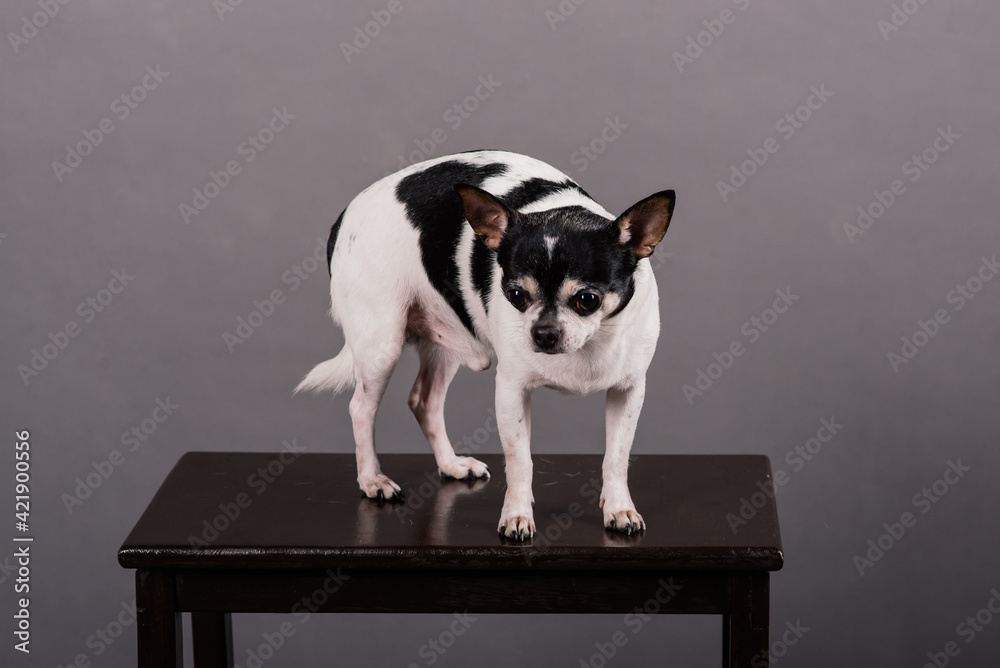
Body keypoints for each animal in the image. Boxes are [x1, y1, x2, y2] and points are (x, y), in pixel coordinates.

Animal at [294, 150, 672, 536]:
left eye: (588, 300)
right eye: (516, 295)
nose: (543, 333)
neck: (590, 342)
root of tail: (343, 219)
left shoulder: (628, 392)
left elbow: (616, 458)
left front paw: (620, 509)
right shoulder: (511, 391)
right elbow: (520, 460)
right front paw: (517, 515)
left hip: (443, 345)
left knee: (425, 402)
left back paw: (450, 465)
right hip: (381, 345)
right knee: (362, 409)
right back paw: (372, 480)